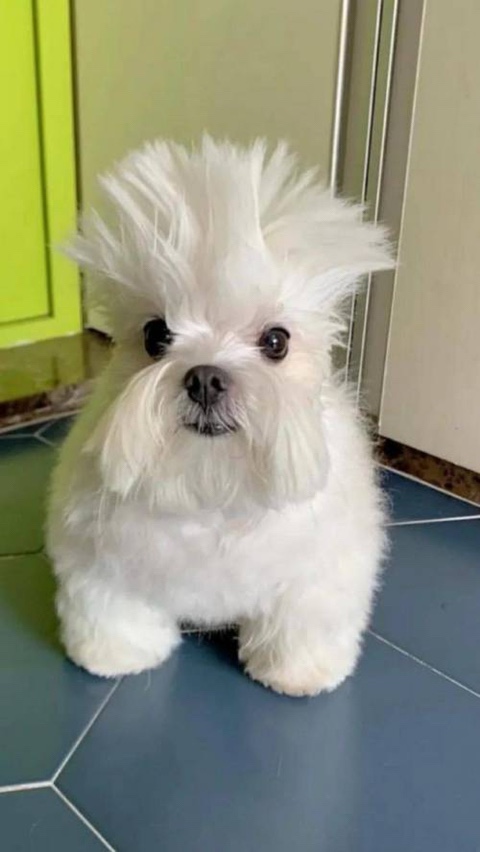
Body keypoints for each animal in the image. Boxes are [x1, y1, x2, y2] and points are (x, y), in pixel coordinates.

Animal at [47, 138, 392, 696]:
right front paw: (114, 658)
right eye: (156, 335)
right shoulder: (102, 567)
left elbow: (301, 623)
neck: (213, 490)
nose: (205, 377)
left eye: (276, 341)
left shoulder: (317, 577)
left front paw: (299, 674)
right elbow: (114, 614)